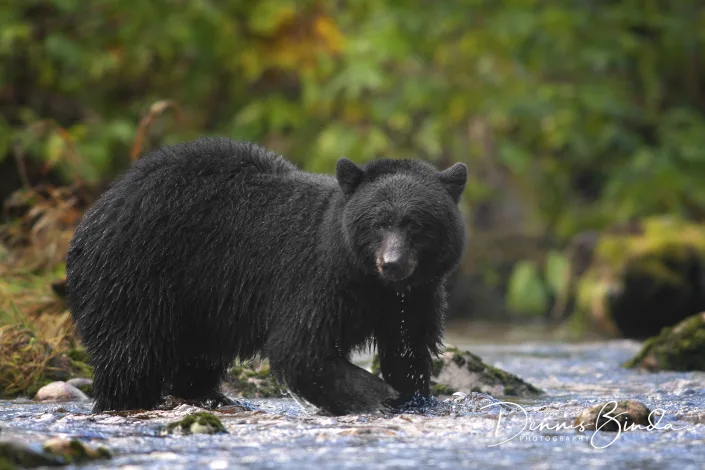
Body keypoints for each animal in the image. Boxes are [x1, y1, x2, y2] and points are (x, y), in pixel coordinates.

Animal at [66, 137, 467, 415]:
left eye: (415, 224)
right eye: (378, 223)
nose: (392, 263)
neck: (367, 279)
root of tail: (94, 213)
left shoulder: (416, 298)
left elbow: (408, 349)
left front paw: (411, 395)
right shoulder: (318, 281)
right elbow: (301, 347)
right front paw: (377, 395)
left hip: (196, 306)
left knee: (193, 358)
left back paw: (208, 397)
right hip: (136, 277)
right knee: (131, 355)